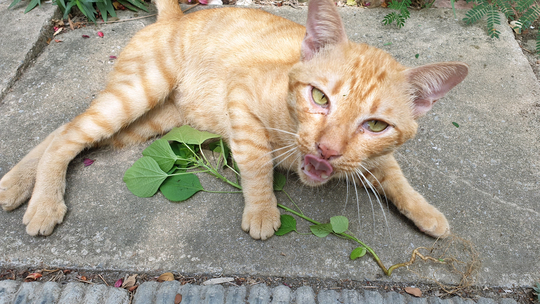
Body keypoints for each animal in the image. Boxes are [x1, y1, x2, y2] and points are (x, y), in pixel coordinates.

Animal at [0, 0, 464, 240]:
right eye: (320, 97)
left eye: (376, 126)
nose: (327, 149)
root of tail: (177, 16)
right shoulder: (240, 93)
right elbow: (256, 158)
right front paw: (262, 210)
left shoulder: (371, 156)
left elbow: (394, 173)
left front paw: (426, 211)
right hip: (137, 93)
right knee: (68, 133)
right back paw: (43, 202)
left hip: (151, 120)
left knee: (64, 131)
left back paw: (17, 184)